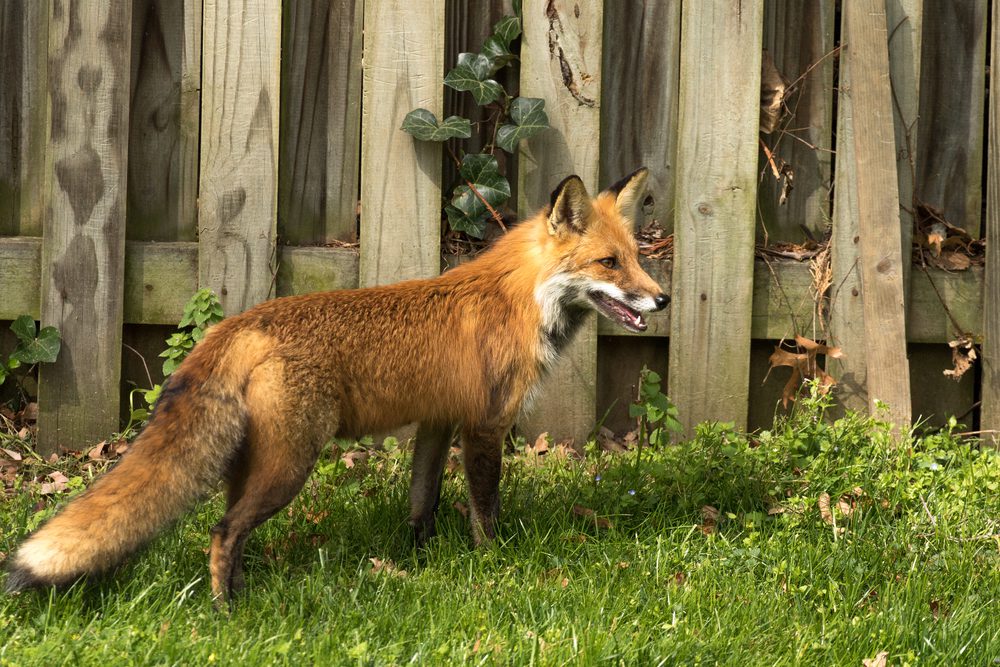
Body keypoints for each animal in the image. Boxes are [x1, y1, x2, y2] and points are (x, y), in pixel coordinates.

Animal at [5, 168, 668, 602]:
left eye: (638, 258)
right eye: (609, 264)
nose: (662, 299)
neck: (520, 301)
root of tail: (240, 322)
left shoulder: (437, 422)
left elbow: (422, 502)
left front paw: (419, 560)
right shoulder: (483, 427)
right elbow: (486, 514)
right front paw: (493, 566)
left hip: (257, 462)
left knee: (230, 528)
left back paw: (243, 592)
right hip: (290, 464)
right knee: (222, 532)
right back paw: (226, 611)